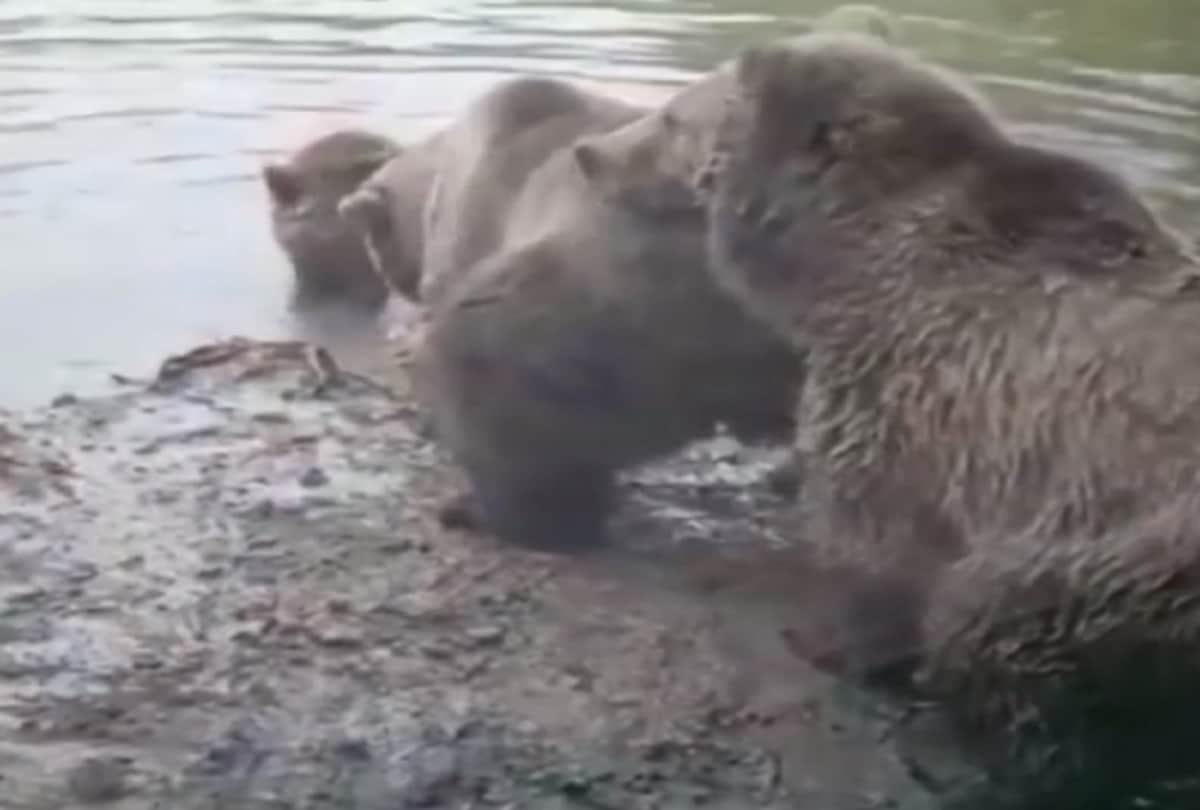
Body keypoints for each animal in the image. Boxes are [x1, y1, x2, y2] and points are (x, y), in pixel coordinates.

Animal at [699, 31, 1200, 807]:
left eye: (753, 95)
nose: (752, 50)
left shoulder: (891, 387)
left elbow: (879, 545)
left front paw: (828, 642)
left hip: (1139, 560)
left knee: (998, 619)